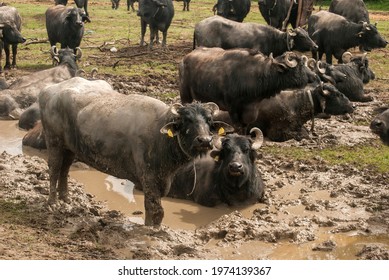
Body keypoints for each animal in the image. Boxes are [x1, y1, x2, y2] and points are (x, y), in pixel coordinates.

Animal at [39, 76, 233, 225]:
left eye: (209, 121)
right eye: (186, 121)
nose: (205, 140)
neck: (160, 137)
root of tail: (48, 90)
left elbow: (153, 210)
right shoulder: (148, 178)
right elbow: (156, 210)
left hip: (70, 147)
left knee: (64, 169)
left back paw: (65, 198)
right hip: (54, 142)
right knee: (54, 169)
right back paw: (52, 202)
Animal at [179, 48, 316, 130]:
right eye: (300, 66)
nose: (314, 76)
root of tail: (185, 59)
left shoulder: (251, 111)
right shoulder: (233, 109)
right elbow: (238, 128)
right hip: (185, 96)